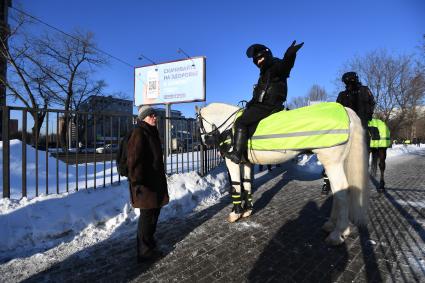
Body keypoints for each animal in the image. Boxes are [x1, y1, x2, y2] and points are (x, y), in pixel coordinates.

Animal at [197, 102, 370, 246]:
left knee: (342, 192)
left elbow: (236, 186)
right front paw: (247, 210)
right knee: (337, 192)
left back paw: (338, 233)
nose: (205, 142)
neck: (230, 127)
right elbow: (246, 184)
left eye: (198, 124)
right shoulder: (246, 163)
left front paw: (235, 213)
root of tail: (345, 110)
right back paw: (331, 225)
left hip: (332, 163)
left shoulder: (232, 162)